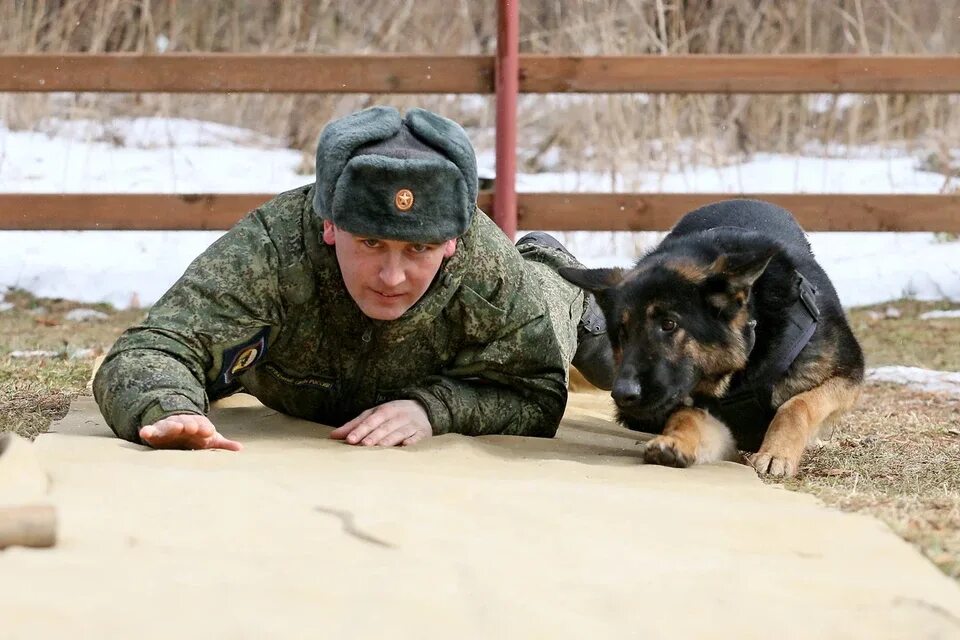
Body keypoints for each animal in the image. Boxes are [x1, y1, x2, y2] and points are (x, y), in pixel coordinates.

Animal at [560, 199, 868, 476]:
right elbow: (686, 418)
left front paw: (775, 453)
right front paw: (675, 440)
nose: (623, 394)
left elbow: (797, 406)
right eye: (621, 333)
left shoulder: (847, 378)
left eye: (669, 324)